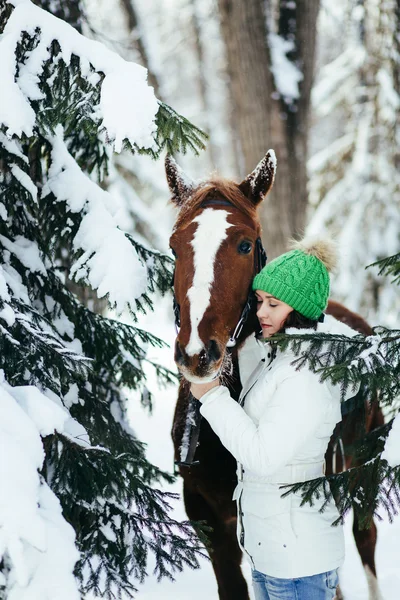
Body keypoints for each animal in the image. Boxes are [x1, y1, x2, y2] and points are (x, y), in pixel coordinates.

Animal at [166, 151, 384, 600]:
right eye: (175, 247)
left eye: (244, 244)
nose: (197, 354)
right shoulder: (211, 523)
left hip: (364, 472)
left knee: (365, 539)